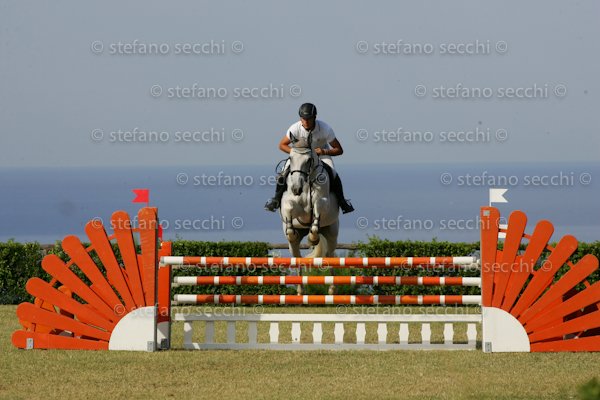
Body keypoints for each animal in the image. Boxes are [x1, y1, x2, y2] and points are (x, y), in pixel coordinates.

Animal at [279, 134, 339, 294]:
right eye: (291, 158)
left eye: (308, 160)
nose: (296, 188)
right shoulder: (290, 203)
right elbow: (288, 209)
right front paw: (292, 233)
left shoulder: (322, 202)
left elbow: (318, 208)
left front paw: (312, 239)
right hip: (293, 247)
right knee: (297, 257)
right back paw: (300, 289)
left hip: (332, 232)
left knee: (330, 255)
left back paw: (332, 288)